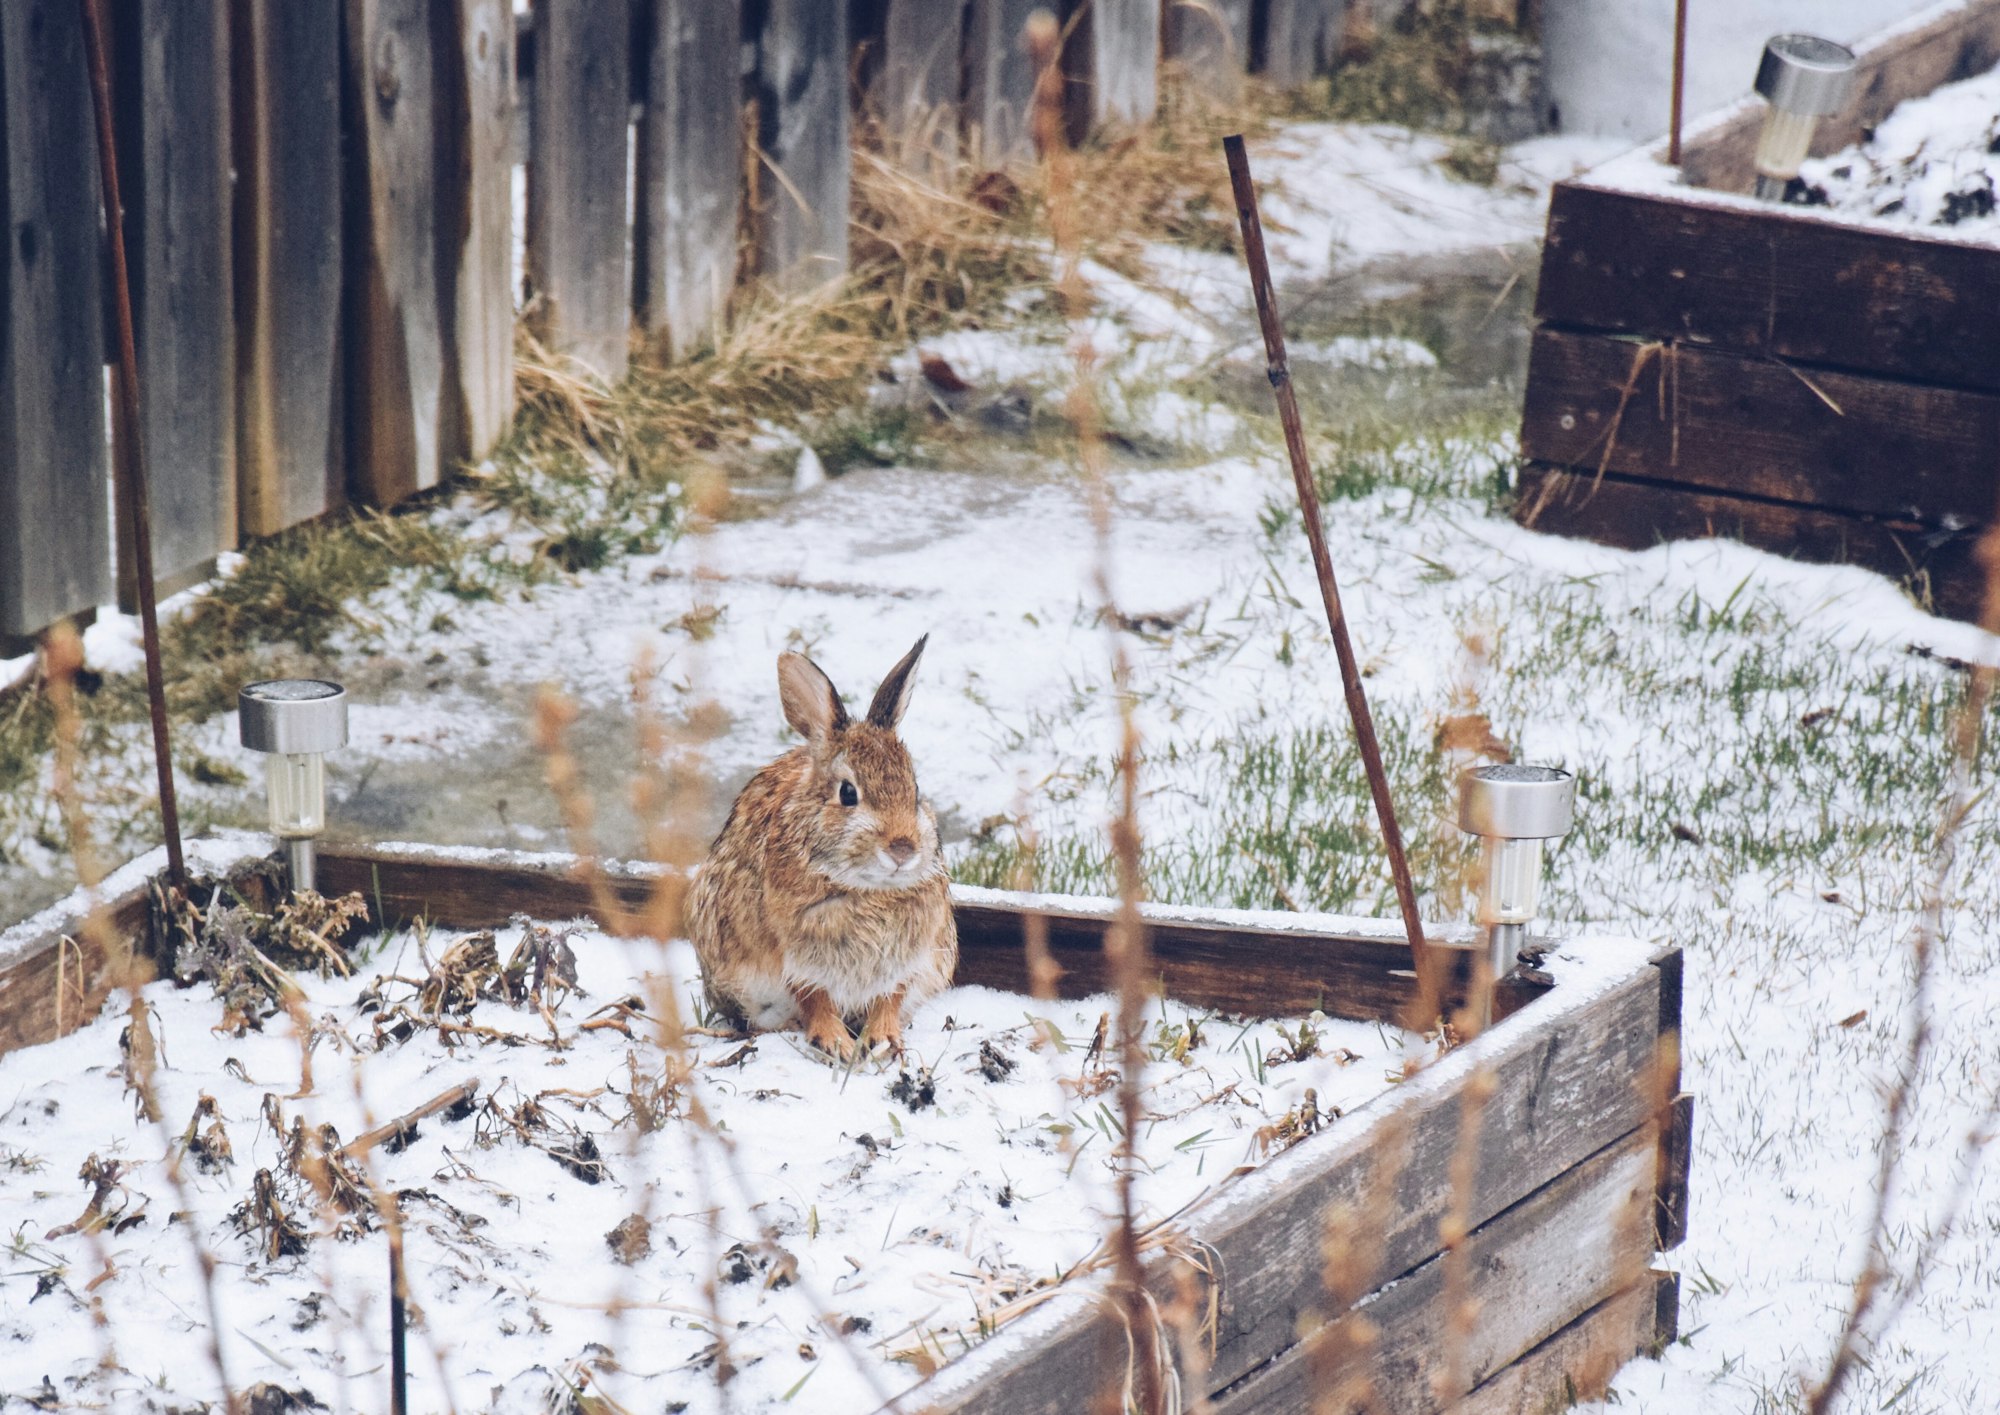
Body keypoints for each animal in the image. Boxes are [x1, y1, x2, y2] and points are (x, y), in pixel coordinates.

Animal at [692, 635, 956, 1055]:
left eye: (915, 792)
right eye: (848, 793)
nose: (902, 849)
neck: (867, 888)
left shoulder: (907, 961)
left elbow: (890, 998)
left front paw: (883, 1040)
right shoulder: (797, 960)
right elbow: (815, 998)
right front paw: (835, 1044)